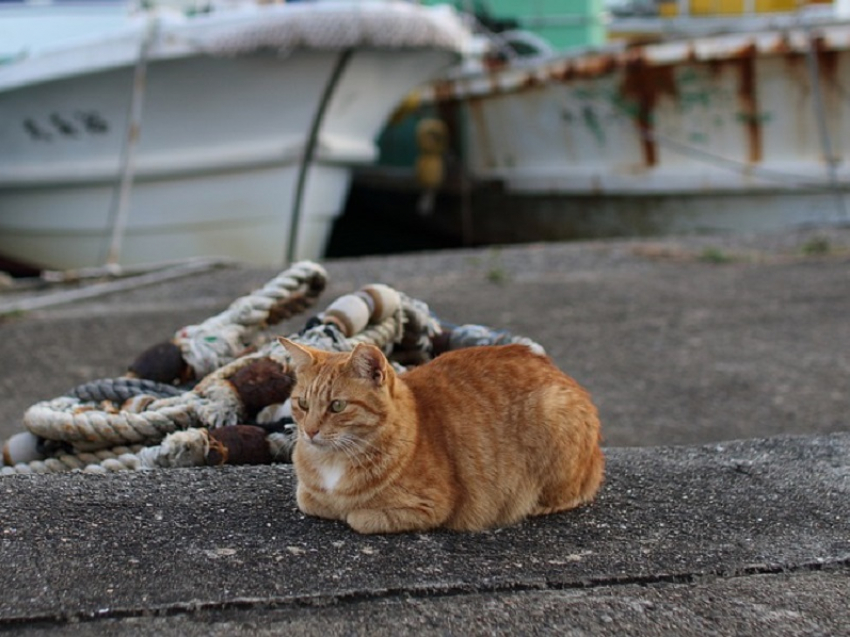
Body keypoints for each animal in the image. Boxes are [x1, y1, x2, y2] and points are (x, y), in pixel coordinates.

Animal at [274, 338, 600, 532]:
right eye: (303, 404)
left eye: (337, 406)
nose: (309, 431)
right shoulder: (307, 494)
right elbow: (308, 499)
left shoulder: (430, 506)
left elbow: (358, 517)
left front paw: (349, 511)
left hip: (553, 415)